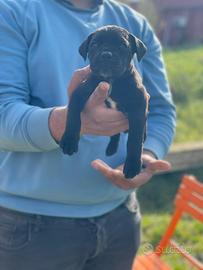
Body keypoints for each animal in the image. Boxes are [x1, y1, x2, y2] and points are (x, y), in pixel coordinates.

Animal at [60, 24, 149, 177]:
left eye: (122, 46)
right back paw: (111, 148)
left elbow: (134, 140)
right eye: (94, 45)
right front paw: (69, 141)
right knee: (115, 133)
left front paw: (132, 165)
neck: (111, 80)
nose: (106, 54)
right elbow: (72, 116)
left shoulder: (139, 106)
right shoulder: (78, 93)